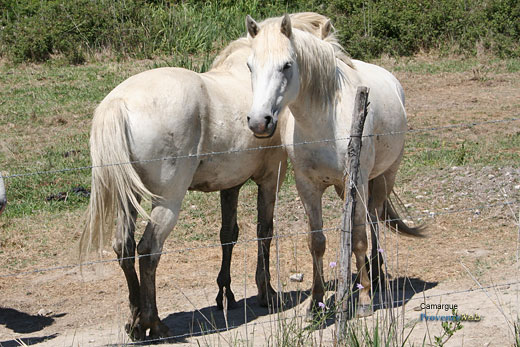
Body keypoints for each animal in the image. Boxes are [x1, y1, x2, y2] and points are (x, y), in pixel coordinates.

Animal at [81, 12, 334, 342]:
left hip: (129, 198)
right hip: (168, 202)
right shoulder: (270, 179)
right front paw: (266, 292)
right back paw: (154, 323)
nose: (260, 122)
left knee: (124, 248)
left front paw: (225, 294)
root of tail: (118, 103)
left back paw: (135, 322)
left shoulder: (231, 184)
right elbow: (264, 231)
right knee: (148, 251)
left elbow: (229, 234)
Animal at [245, 13, 422, 318]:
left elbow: (360, 237)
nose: (259, 122)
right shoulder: (307, 187)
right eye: (250, 66)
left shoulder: (357, 180)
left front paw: (364, 301)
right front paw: (316, 305)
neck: (323, 123)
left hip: (383, 178)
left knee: (373, 220)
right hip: (345, 189)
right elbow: (317, 243)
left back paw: (375, 276)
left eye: (287, 65)